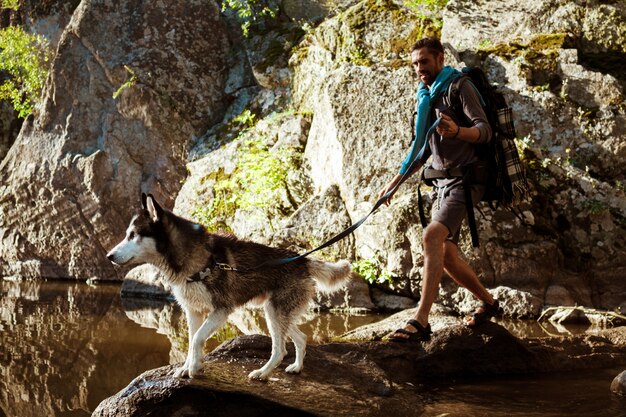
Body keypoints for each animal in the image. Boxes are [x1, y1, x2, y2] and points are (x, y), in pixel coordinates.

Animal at [107, 193, 352, 378]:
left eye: (132, 235)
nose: (109, 256)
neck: (195, 260)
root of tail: (303, 260)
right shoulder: (193, 311)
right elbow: (191, 341)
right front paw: (188, 367)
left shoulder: (221, 310)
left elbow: (197, 339)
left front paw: (194, 368)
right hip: (276, 312)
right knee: (301, 339)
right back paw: (297, 367)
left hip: (275, 313)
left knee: (280, 349)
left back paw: (263, 373)